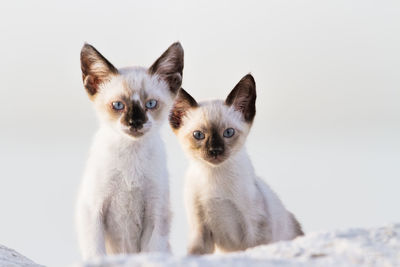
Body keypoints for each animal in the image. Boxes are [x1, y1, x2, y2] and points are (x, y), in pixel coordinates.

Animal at [76, 42, 184, 262]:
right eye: (118, 105)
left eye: (150, 104)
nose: (135, 123)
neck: (131, 154)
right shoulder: (93, 210)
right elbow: (96, 254)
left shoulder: (156, 214)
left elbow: (150, 254)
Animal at [169, 74, 304, 255]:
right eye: (198, 135)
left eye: (228, 133)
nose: (215, 151)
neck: (215, 176)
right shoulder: (200, 230)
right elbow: (194, 254)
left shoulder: (255, 227)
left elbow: (253, 249)